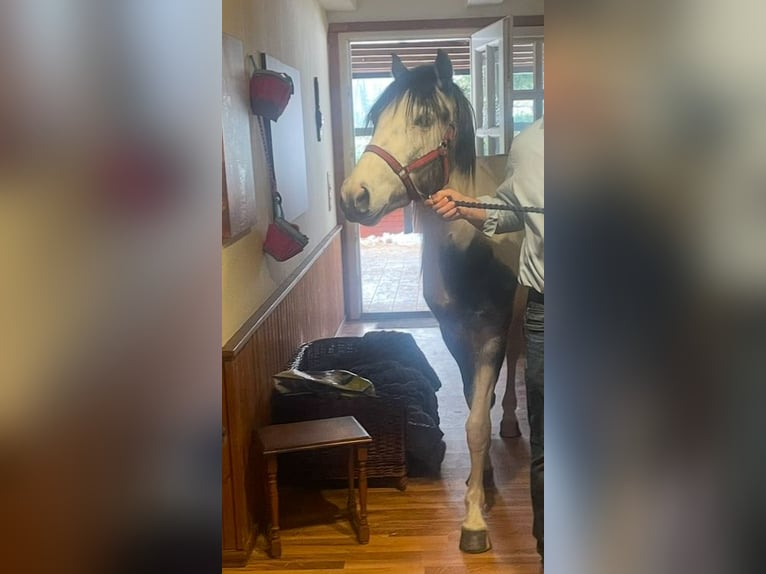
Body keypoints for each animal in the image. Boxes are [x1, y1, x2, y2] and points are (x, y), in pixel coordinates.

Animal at [340, 50, 524, 553]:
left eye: (422, 119)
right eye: (376, 119)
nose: (353, 196)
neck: (471, 248)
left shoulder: (490, 334)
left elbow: (477, 423)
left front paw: (475, 522)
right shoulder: (456, 337)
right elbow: (474, 407)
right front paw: (482, 484)